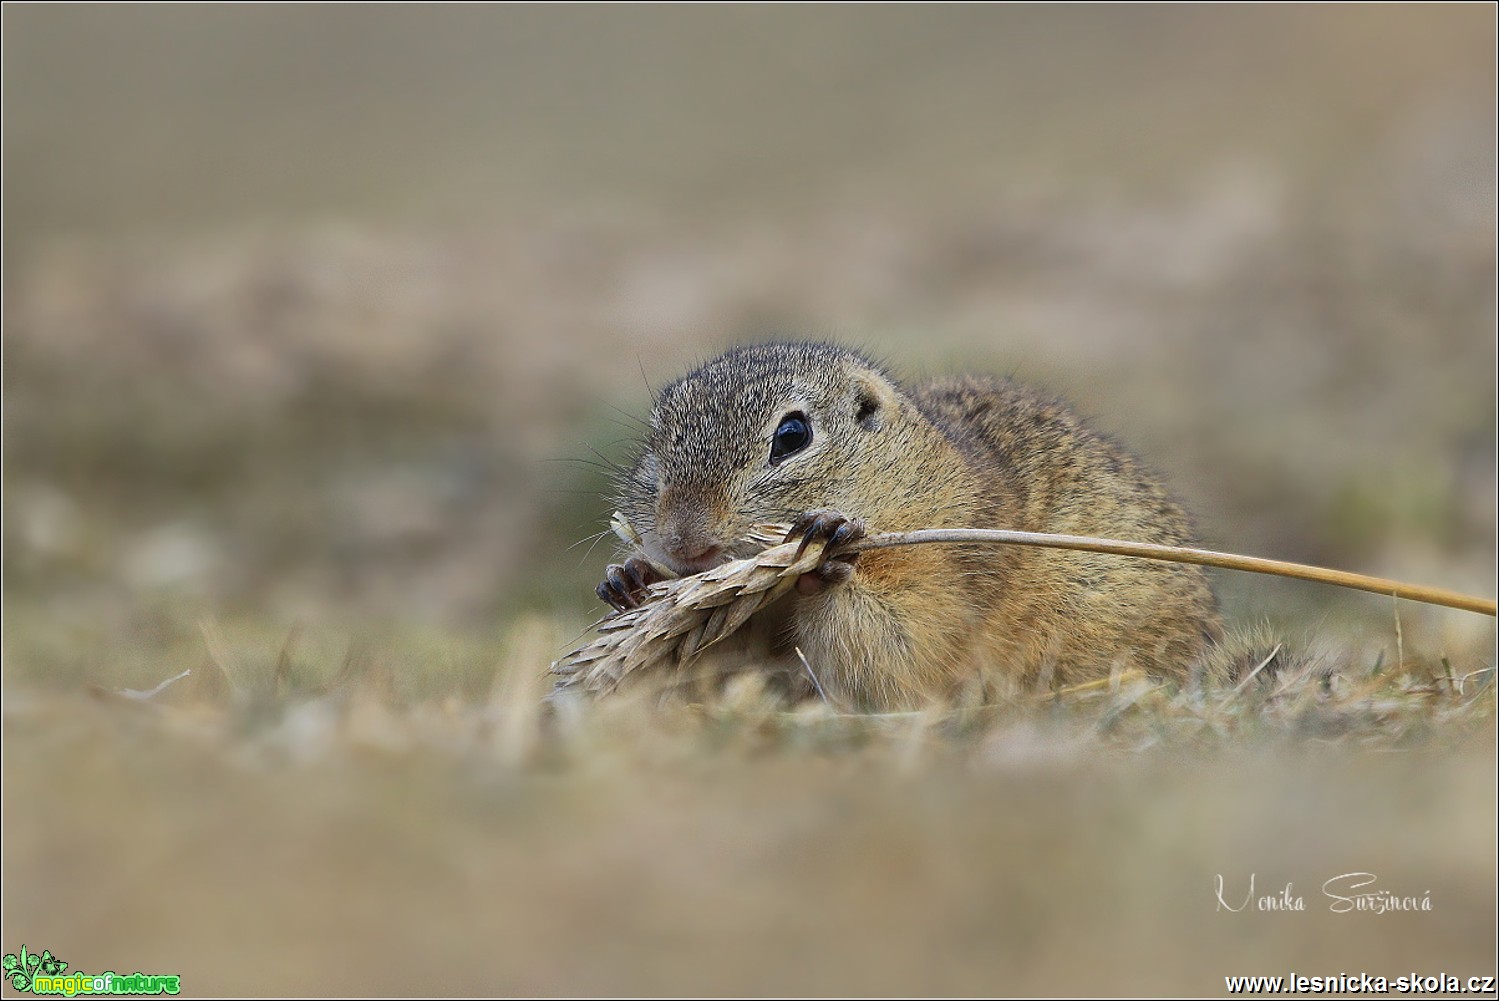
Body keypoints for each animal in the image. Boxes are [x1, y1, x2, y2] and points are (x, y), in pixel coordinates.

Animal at [593, 344, 1217, 710]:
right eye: (657, 436)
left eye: (792, 435)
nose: (684, 541)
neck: (907, 482)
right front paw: (630, 578)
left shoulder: (955, 574)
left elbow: (902, 649)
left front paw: (827, 550)